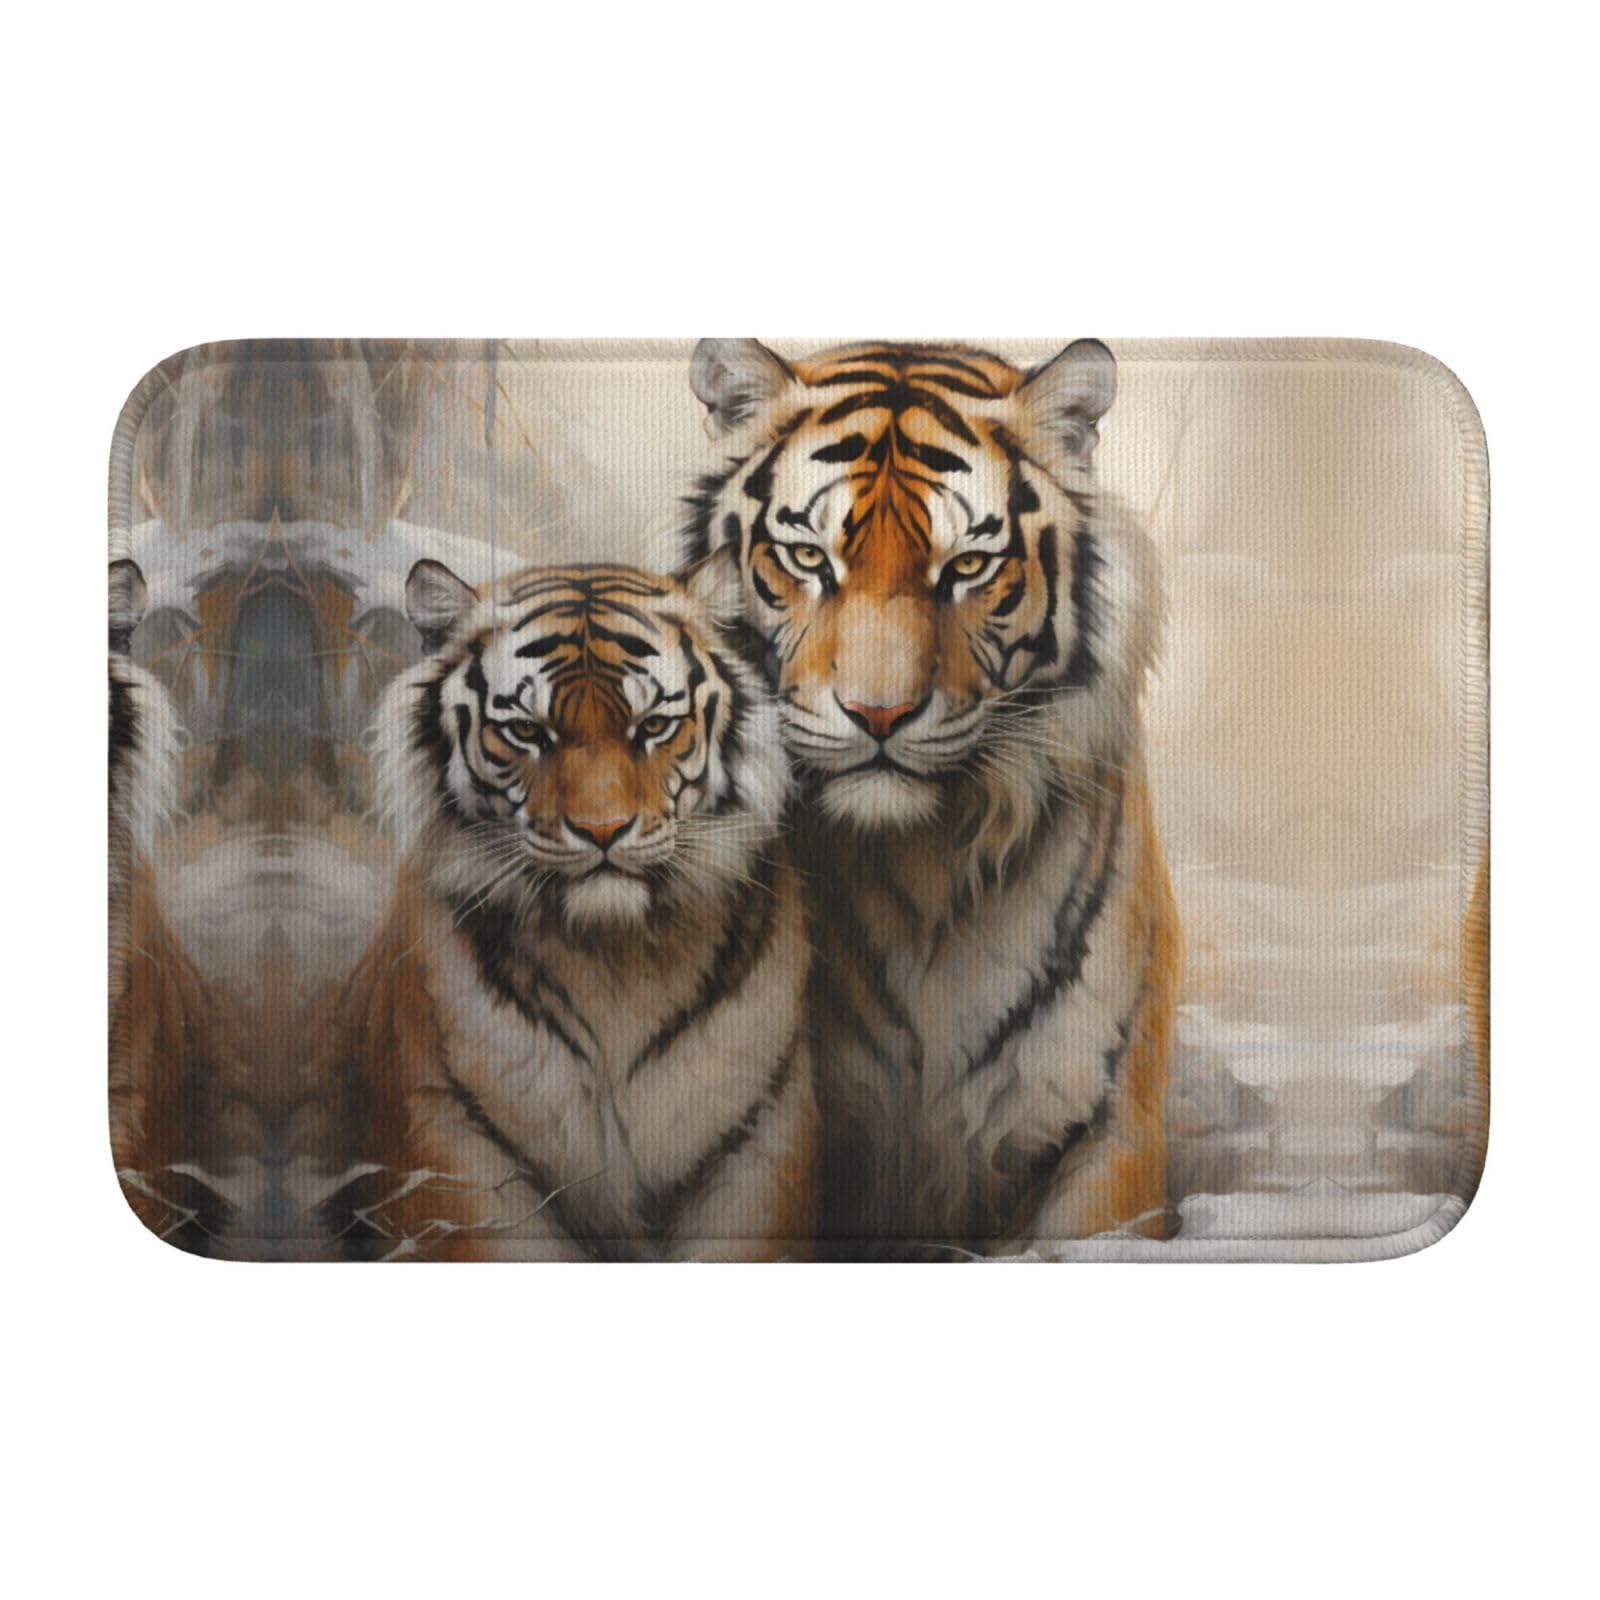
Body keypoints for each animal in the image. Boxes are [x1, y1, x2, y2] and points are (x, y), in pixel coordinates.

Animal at [346, 559, 816, 1260]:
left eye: (653, 727)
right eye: (527, 732)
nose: (602, 831)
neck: (613, 961)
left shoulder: (758, 1144)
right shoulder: (452, 1140)